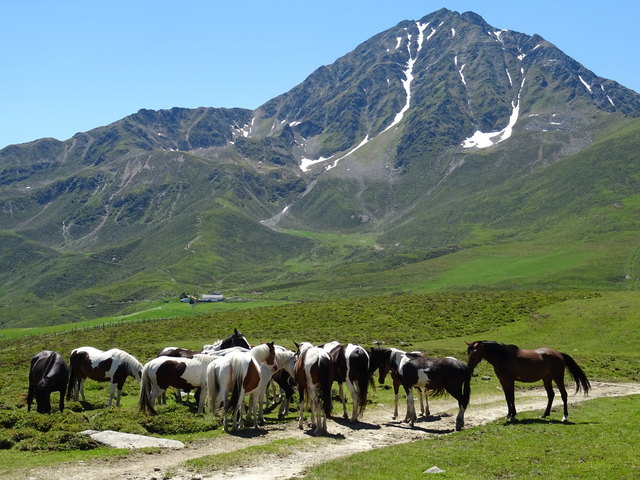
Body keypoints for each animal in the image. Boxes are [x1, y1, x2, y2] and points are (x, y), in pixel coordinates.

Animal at [464, 340, 592, 422]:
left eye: (475, 352)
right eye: (468, 352)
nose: (469, 369)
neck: (503, 356)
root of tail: (559, 354)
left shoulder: (510, 380)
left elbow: (512, 397)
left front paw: (512, 416)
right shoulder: (503, 381)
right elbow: (507, 398)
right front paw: (509, 414)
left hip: (558, 377)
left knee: (563, 394)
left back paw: (564, 417)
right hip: (547, 378)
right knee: (551, 395)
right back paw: (544, 414)